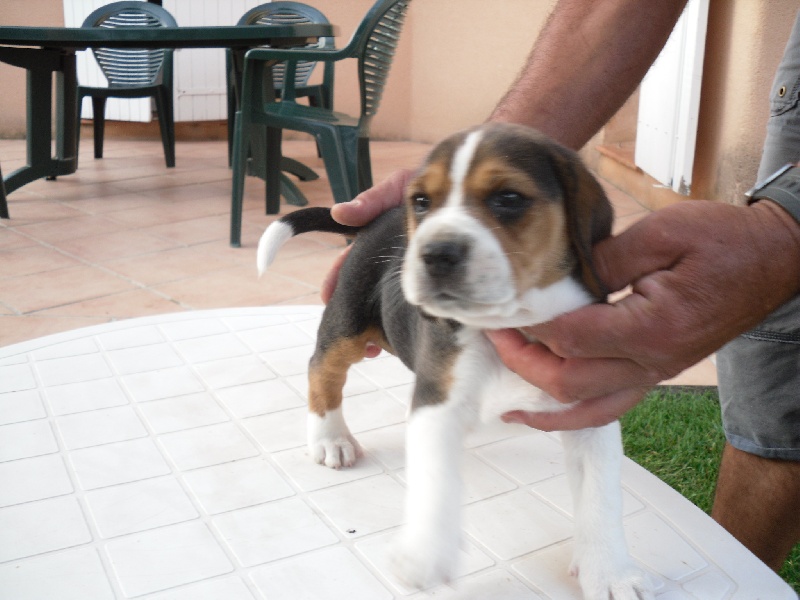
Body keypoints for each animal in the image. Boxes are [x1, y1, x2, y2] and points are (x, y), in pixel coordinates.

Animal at [257, 123, 652, 599]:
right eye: (422, 202)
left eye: (508, 198)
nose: (435, 253)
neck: (513, 320)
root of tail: (375, 220)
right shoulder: (436, 401)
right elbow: (435, 480)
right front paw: (425, 554)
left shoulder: (591, 412)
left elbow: (601, 497)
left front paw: (611, 572)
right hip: (347, 321)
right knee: (322, 368)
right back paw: (331, 438)